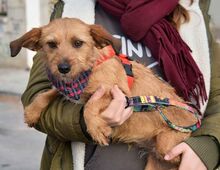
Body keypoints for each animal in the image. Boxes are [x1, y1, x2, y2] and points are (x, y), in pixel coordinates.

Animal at [9, 17, 199, 169]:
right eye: (51, 44)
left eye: (78, 43)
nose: (63, 68)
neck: (88, 71)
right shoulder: (66, 87)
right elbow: (48, 93)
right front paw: (32, 111)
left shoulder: (119, 94)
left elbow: (90, 106)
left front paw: (96, 129)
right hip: (156, 160)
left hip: (166, 146)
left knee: (178, 158)